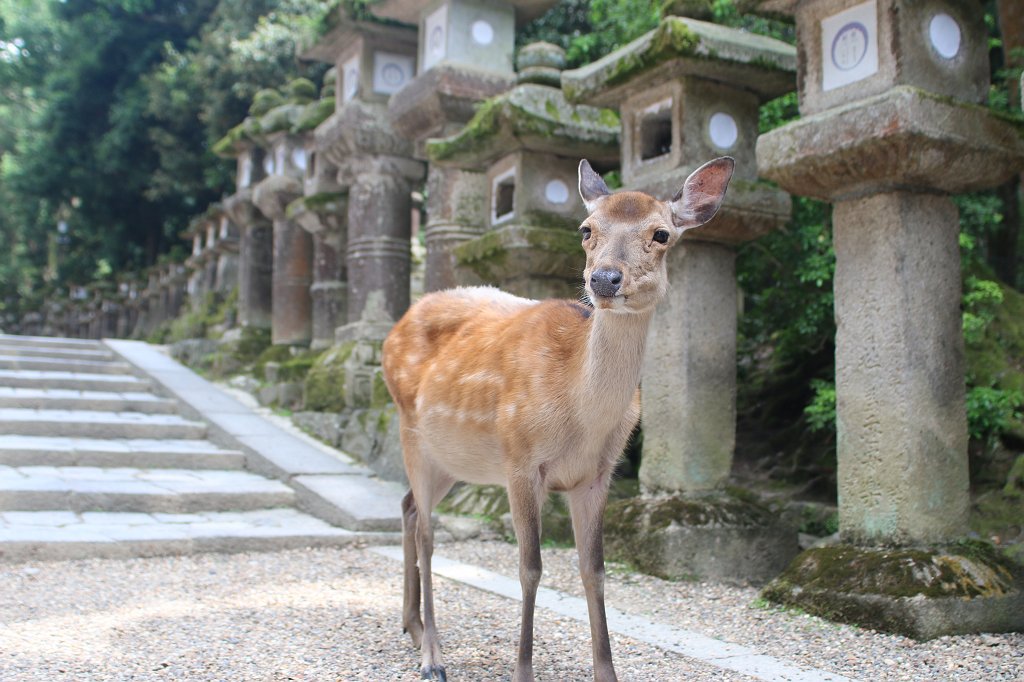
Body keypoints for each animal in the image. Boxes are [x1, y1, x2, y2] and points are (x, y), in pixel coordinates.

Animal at [380, 155, 733, 679]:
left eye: (662, 234)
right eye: (586, 229)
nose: (604, 279)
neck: (582, 419)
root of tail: (394, 329)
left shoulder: (598, 474)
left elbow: (594, 570)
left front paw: (607, 673)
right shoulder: (522, 462)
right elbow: (531, 568)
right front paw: (523, 670)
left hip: (455, 459)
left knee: (406, 507)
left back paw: (413, 626)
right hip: (411, 432)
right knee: (426, 532)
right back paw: (433, 657)